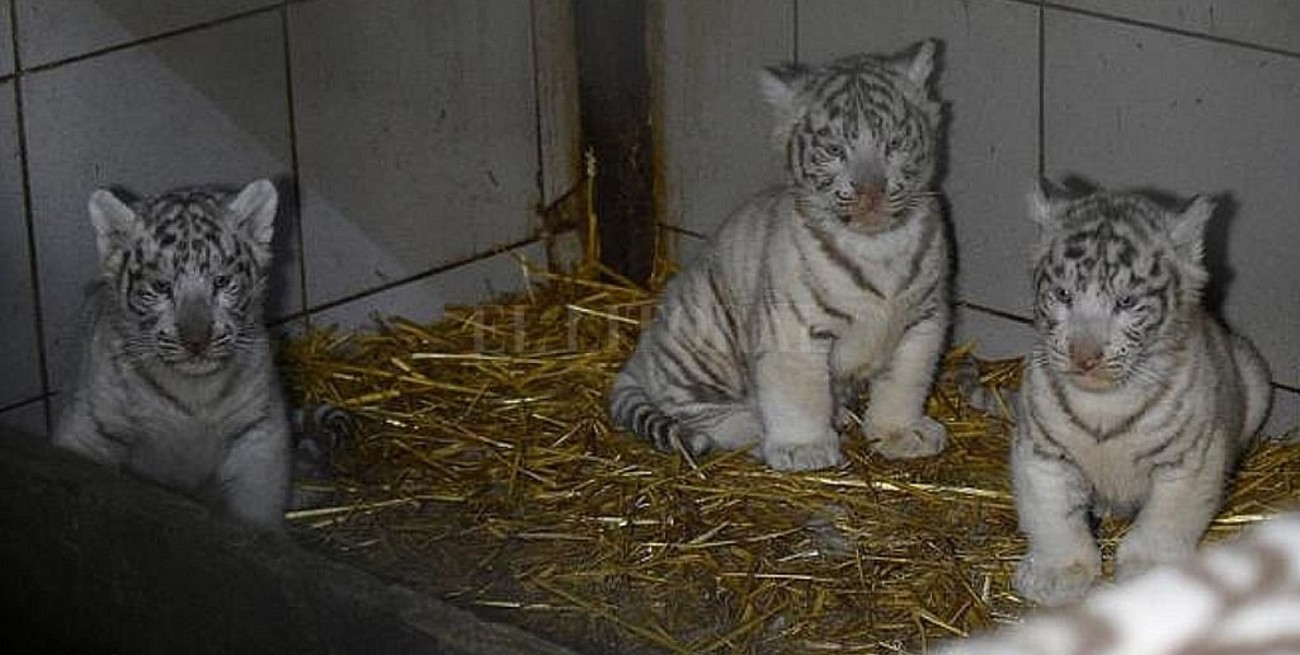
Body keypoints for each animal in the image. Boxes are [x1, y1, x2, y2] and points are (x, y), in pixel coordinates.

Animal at [52, 179, 291, 530]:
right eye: (162, 286)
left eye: (221, 282)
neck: (192, 390)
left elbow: (257, 504)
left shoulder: (256, 430)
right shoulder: (92, 427)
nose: (196, 342)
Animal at [610, 40, 951, 471]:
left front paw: (900, 433)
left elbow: (905, 380)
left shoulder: (924, 318)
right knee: (696, 410)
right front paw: (803, 449)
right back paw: (758, 430)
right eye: (834, 150)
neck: (879, 245)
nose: (871, 192)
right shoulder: (794, 323)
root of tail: (639, 354)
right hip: (701, 333)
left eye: (894, 144)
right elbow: (798, 388)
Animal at [1011, 183, 1272, 605]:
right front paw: (1057, 573)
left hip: (1255, 376)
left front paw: (1152, 573)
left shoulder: (1189, 458)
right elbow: (1052, 514)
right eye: (1064, 295)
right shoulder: (1042, 451)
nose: (1084, 357)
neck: (1103, 403)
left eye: (1126, 302)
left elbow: (1166, 520)